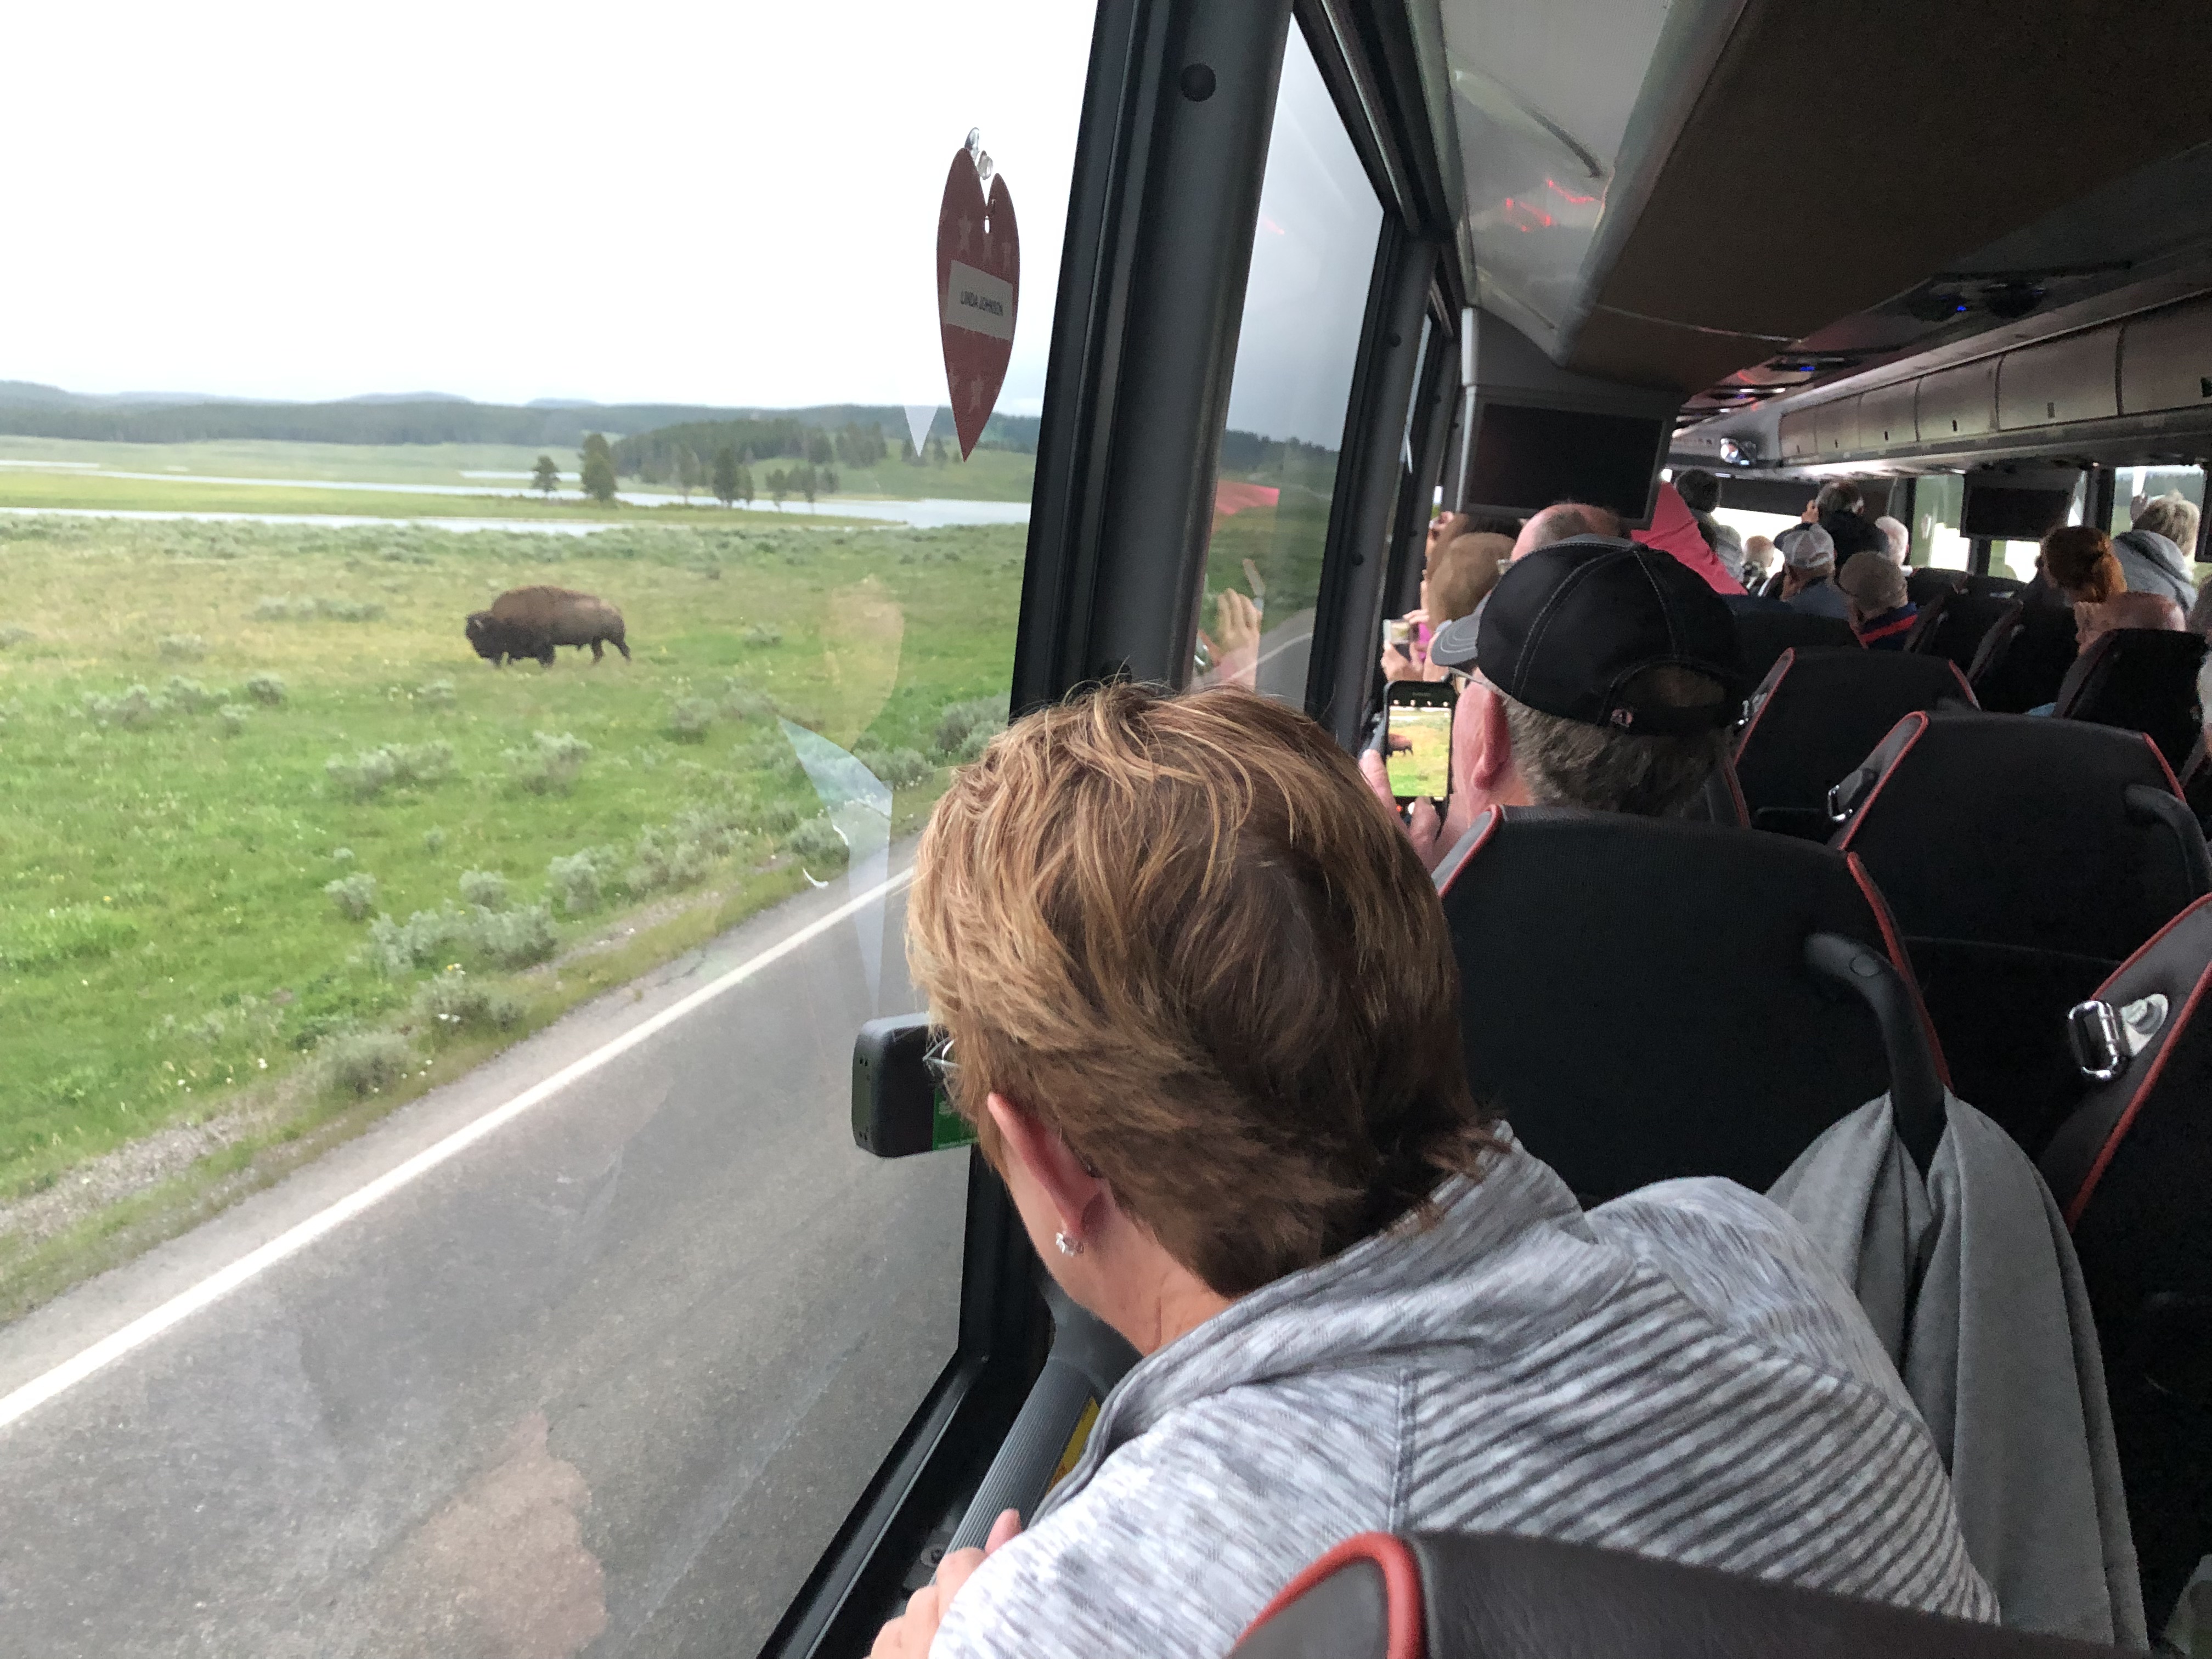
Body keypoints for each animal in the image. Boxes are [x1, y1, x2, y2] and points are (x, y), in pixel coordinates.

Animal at [465, 586, 630, 667]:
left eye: (481, 635)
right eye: (470, 636)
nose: (482, 653)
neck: (501, 621)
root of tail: (615, 610)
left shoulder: (543, 644)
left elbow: (547, 657)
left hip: (615, 639)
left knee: (625, 650)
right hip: (596, 641)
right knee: (599, 654)